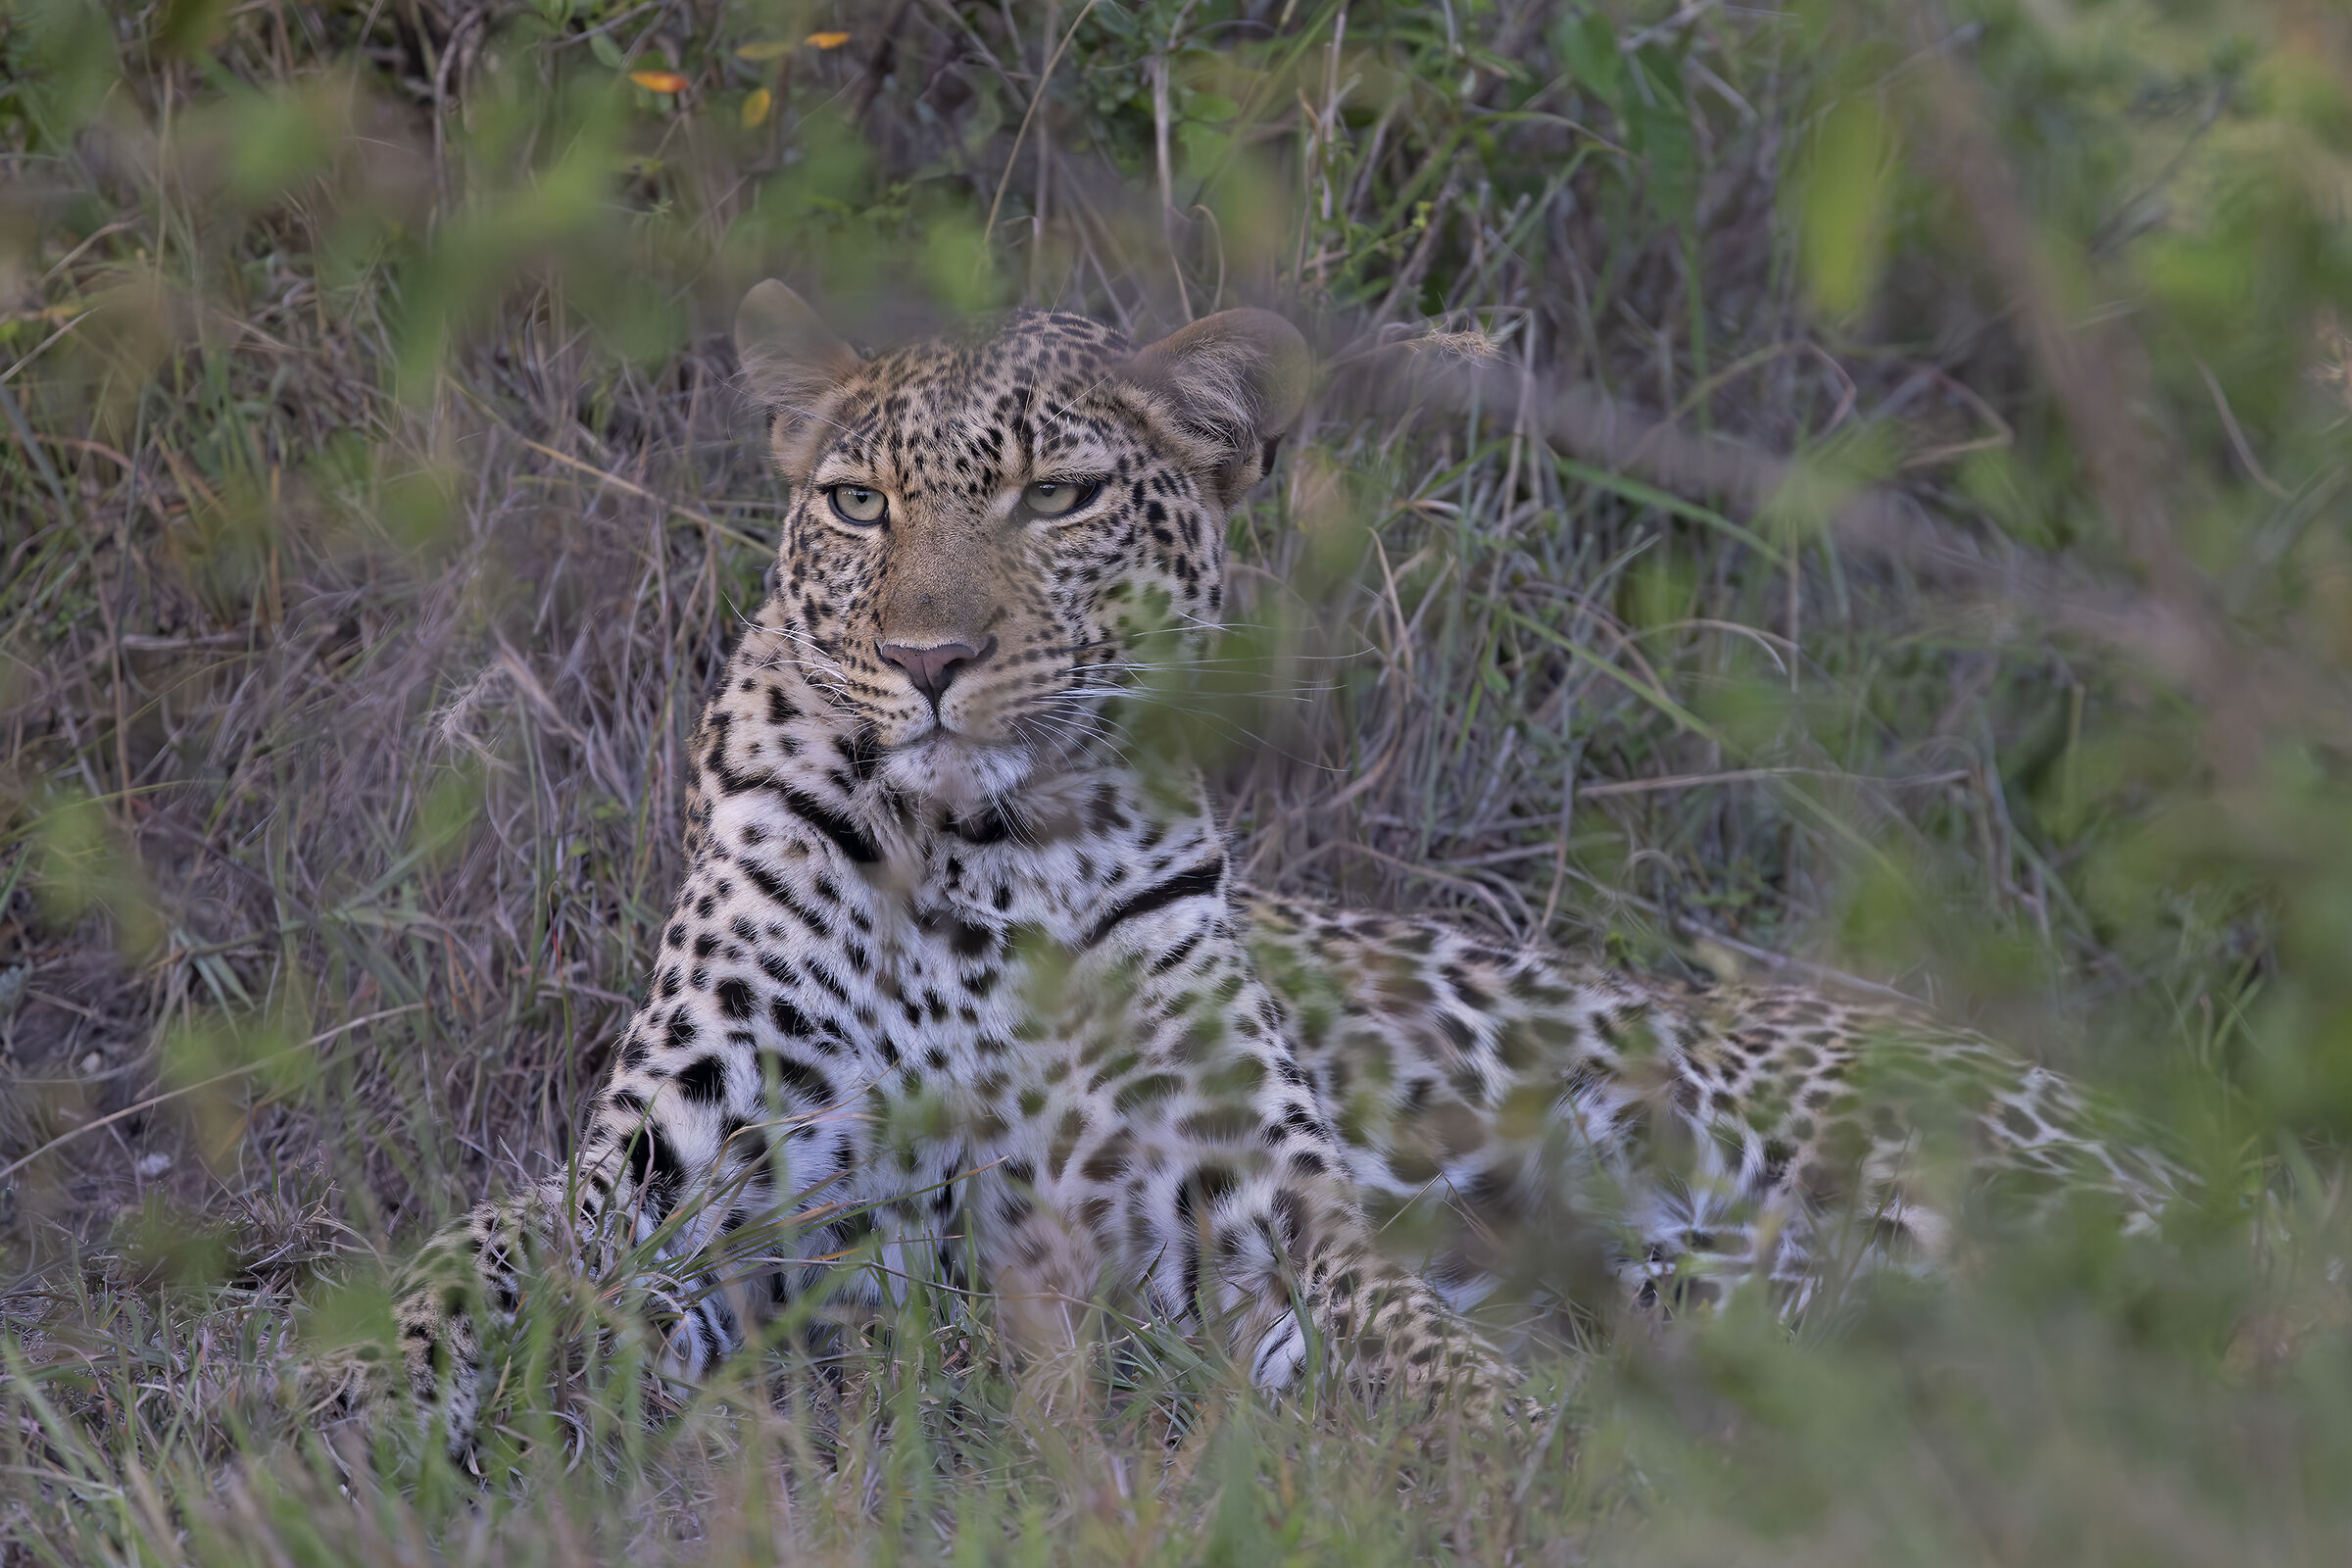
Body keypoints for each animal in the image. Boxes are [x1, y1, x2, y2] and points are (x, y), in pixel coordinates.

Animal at [369, 283, 2183, 1462]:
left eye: (1061, 496)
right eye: (855, 504)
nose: (929, 657)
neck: (976, 861)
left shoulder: (1257, 1204)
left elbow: (1431, 1355)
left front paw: (1531, 1453)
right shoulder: (694, 1180)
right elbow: (473, 1268)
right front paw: (358, 1419)